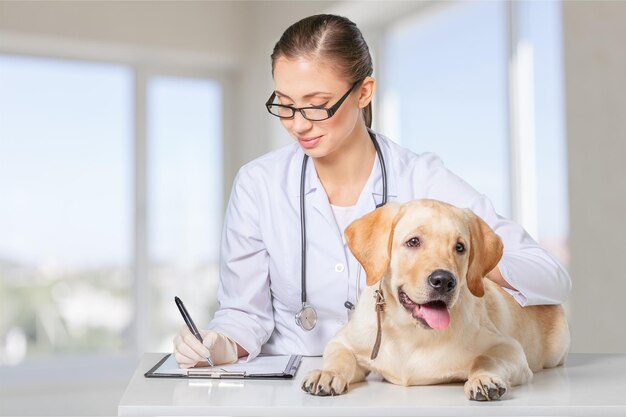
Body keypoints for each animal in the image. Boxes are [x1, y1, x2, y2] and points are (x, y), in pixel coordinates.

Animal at [300, 198, 568, 400]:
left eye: (460, 247)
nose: (444, 281)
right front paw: (327, 373)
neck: (411, 331)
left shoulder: (509, 348)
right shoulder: (343, 342)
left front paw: (483, 378)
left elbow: (485, 357)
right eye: (413, 242)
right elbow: (339, 356)